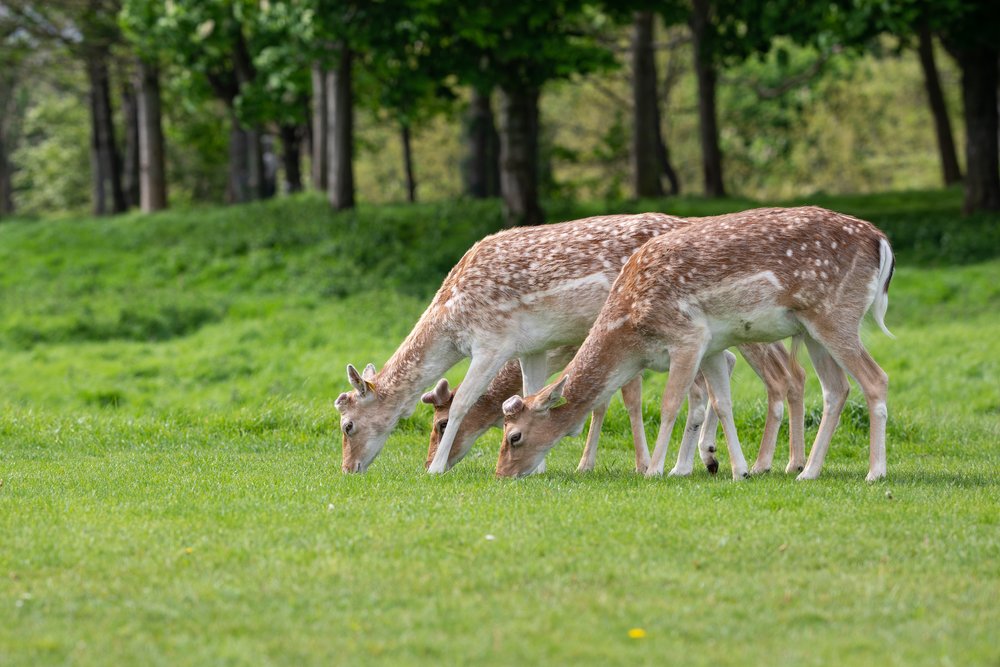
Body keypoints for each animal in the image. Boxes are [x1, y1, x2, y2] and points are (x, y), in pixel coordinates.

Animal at [496, 206, 896, 482]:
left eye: (514, 436)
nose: (501, 473)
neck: (632, 333)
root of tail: (882, 242)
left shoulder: (688, 336)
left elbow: (671, 403)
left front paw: (656, 469)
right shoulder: (715, 345)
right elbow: (722, 402)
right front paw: (737, 470)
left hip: (836, 316)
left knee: (875, 378)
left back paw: (874, 472)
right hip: (812, 329)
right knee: (836, 389)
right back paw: (808, 471)